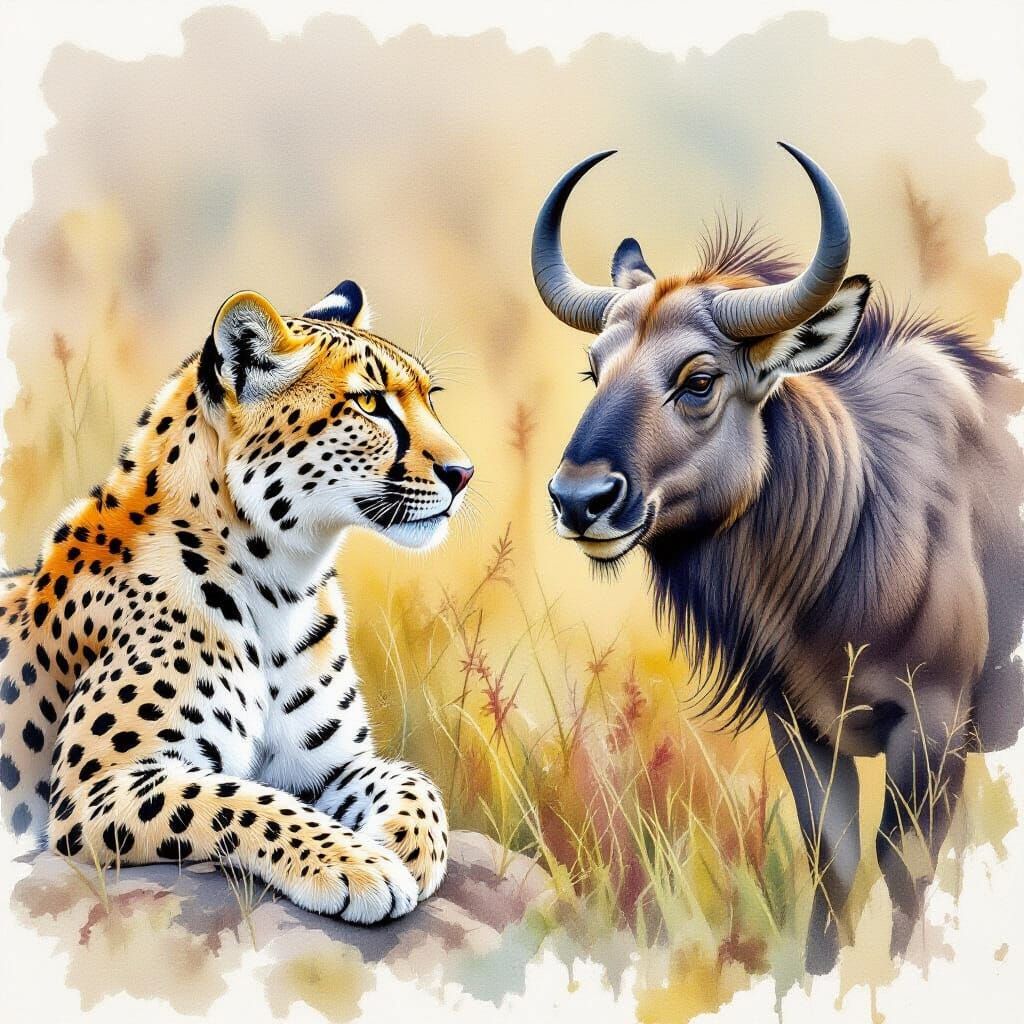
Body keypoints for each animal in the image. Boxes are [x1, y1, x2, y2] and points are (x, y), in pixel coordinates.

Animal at [0, 279, 473, 923]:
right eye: (371, 405)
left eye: (431, 396)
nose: (463, 472)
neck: (283, 583)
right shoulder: (96, 787)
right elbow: (238, 799)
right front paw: (359, 865)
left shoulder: (324, 766)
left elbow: (410, 779)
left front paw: (405, 845)